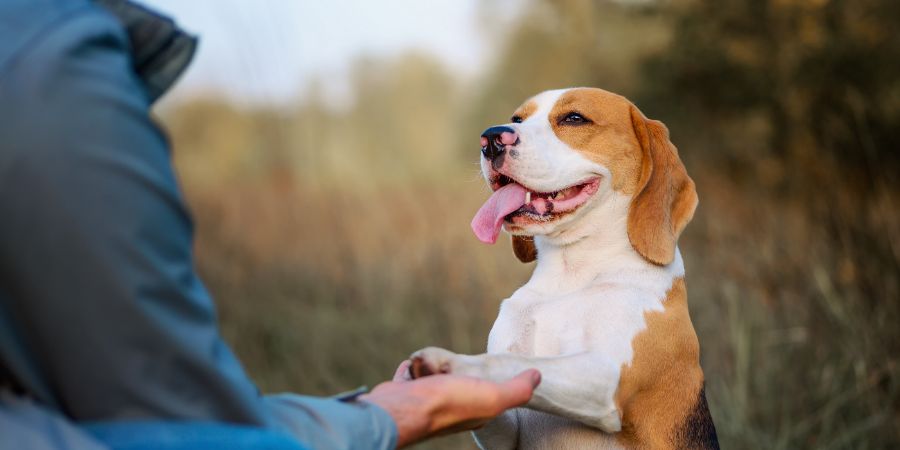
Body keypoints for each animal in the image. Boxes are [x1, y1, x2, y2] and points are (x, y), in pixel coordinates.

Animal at [408, 87, 716, 446]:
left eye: (574, 118)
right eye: (517, 119)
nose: (491, 139)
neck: (571, 274)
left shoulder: (604, 377)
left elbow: (508, 361)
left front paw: (452, 364)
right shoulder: (507, 434)